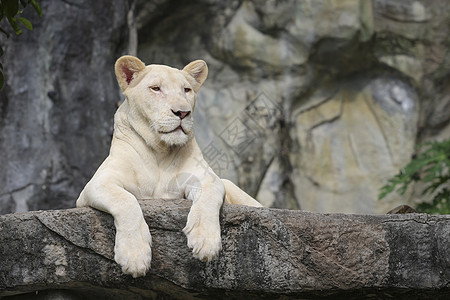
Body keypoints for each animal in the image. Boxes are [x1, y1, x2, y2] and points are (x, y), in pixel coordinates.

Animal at [76, 55, 262, 276]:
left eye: (186, 90)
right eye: (156, 88)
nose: (182, 112)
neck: (160, 151)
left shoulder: (205, 178)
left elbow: (209, 197)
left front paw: (205, 242)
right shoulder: (97, 184)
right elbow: (125, 200)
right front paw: (134, 256)